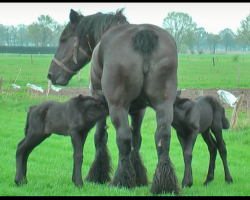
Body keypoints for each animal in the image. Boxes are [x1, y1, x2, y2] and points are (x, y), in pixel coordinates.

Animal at [47, 8, 180, 195]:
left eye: (63, 39)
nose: (51, 74)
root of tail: (143, 35)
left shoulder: (100, 104)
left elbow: (100, 136)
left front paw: (98, 174)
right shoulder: (139, 110)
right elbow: (136, 139)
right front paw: (138, 176)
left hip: (118, 106)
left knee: (123, 139)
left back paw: (120, 181)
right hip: (164, 105)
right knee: (162, 138)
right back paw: (163, 185)